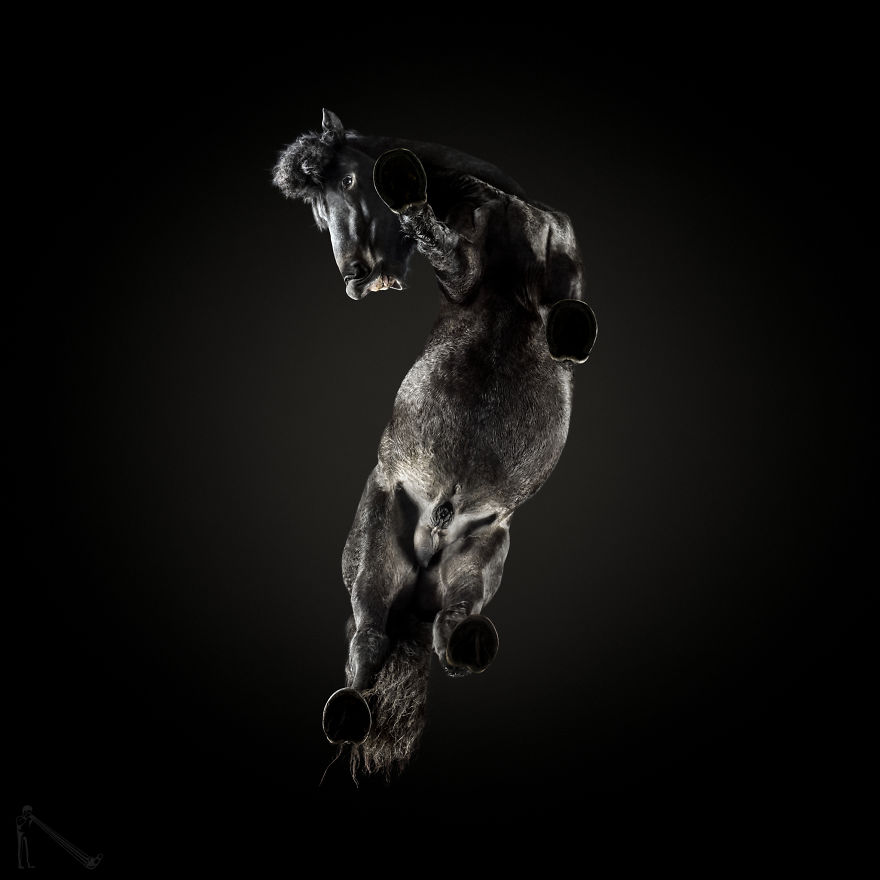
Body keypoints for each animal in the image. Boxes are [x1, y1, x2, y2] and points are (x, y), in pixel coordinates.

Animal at [273, 109, 597, 778]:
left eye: (349, 180)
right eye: (317, 212)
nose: (357, 276)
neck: (508, 205)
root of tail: (434, 541)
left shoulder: (563, 278)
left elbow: (570, 317)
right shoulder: (464, 283)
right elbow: (442, 245)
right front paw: (412, 198)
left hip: (483, 560)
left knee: (453, 634)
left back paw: (472, 641)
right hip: (375, 564)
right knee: (367, 640)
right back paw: (346, 714)